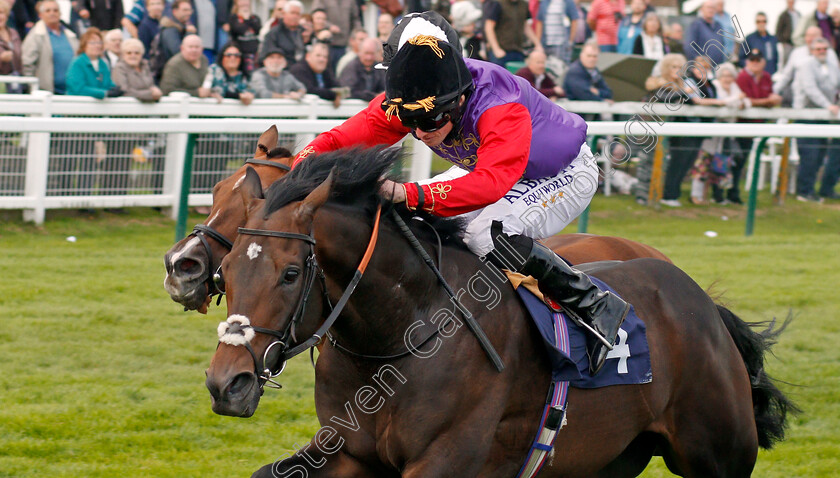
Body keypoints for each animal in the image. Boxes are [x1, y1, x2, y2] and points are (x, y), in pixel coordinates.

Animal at [203, 148, 796, 474]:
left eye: (289, 273)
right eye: (227, 272)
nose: (226, 383)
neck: (400, 335)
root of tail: (704, 304)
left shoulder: (445, 460)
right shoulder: (351, 453)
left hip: (718, 452)